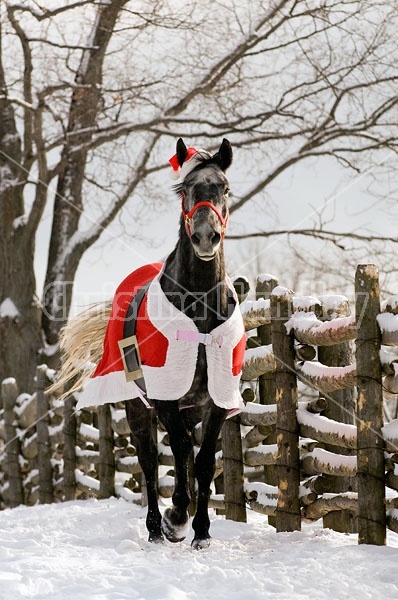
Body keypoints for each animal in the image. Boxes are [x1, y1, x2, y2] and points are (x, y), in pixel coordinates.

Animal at [52, 137, 246, 548]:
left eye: (224, 188)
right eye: (186, 189)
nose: (205, 237)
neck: (199, 309)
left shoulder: (216, 399)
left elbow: (204, 460)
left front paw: (201, 530)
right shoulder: (163, 395)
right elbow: (177, 450)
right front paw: (177, 519)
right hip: (137, 405)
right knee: (149, 460)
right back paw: (157, 527)